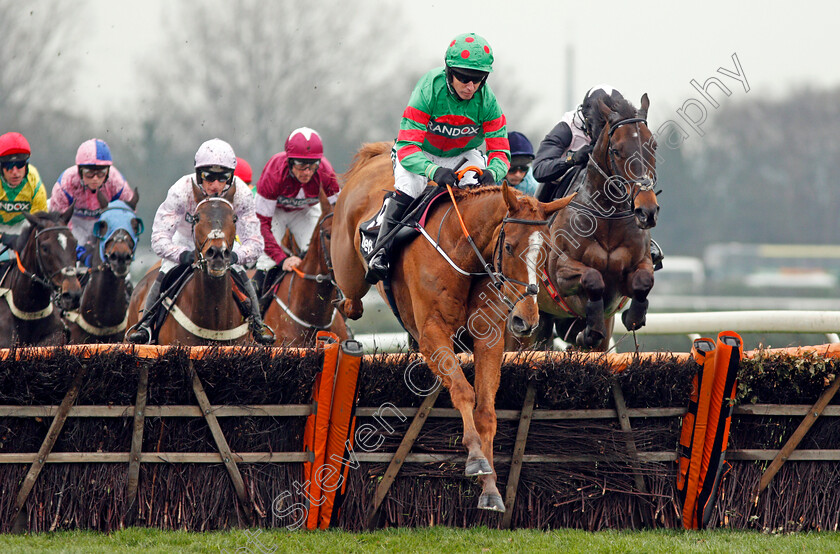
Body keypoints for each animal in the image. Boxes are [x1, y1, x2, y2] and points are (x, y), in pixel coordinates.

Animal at [332, 141, 576, 508]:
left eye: (545, 249)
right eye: (508, 246)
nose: (526, 319)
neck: (465, 253)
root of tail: (375, 156)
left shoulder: (489, 339)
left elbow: (486, 409)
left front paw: (490, 489)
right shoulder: (433, 335)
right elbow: (462, 390)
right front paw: (475, 459)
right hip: (349, 272)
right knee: (351, 301)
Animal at [536, 92, 660, 348]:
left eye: (653, 146)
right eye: (616, 150)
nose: (647, 211)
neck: (608, 218)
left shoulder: (640, 263)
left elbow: (643, 281)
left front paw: (633, 316)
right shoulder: (560, 270)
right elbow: (592, 278)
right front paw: (589, 330)